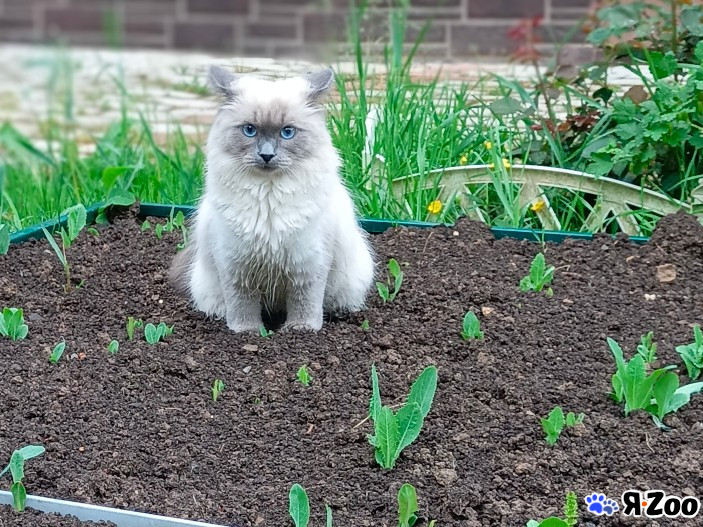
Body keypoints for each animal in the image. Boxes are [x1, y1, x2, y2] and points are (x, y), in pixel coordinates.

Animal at [170, 65, 374, 332]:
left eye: (287, 132)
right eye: (249, 130)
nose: (266, 155)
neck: (268, 197)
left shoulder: (309, 264)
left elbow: (305, 303)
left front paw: (300, 329)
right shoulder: (236, 266)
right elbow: (242, 305)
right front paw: (248, 331)